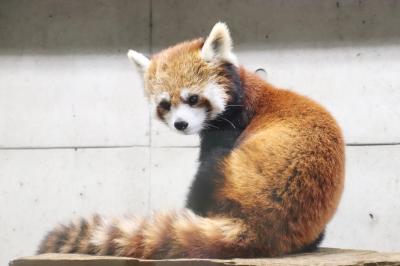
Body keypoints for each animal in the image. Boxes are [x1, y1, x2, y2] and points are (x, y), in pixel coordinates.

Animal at [36, 21, 344, 258]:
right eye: (165, 104)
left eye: (193, 98)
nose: (180, 124)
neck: (243, 87)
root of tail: (263, 228)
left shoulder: (231, 125)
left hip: (236, 178)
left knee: (208, 172)